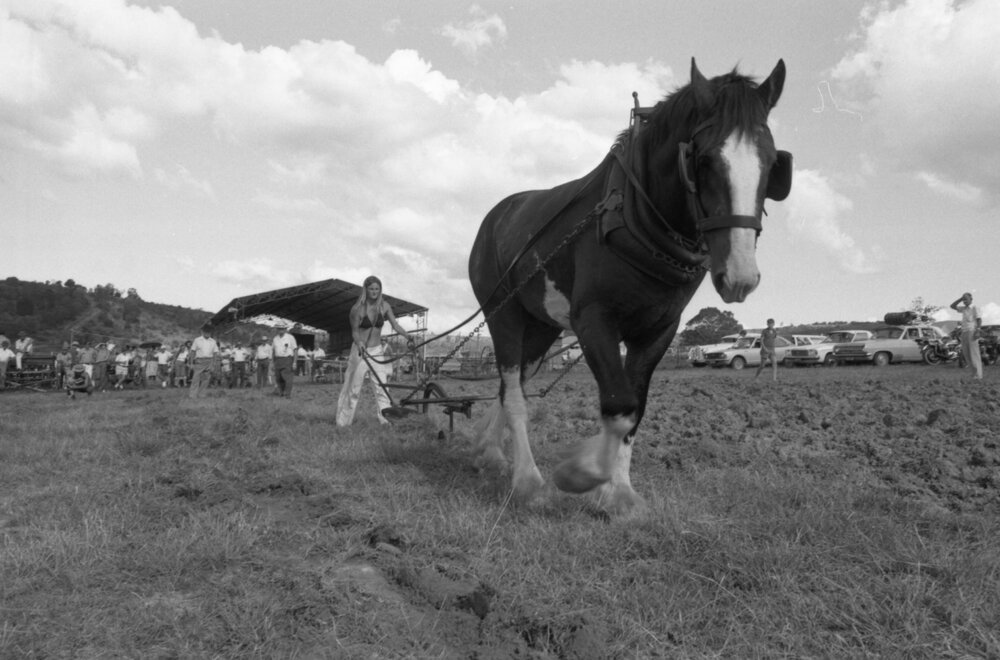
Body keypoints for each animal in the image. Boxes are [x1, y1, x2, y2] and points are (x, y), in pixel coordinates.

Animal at [467, 59, 793, 516]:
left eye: (771, 163)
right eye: (704, 159)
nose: (740, 276)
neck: (635, 217)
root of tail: (496, 216)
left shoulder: (658, 331)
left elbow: (635, 411)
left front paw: (619, 492)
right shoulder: (593, 321)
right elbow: (618, 405)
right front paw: (582, 474)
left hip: (542, 327)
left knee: (507, 385)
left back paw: (489, 451)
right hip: (503, 314)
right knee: (513, 393)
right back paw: (528, 481)